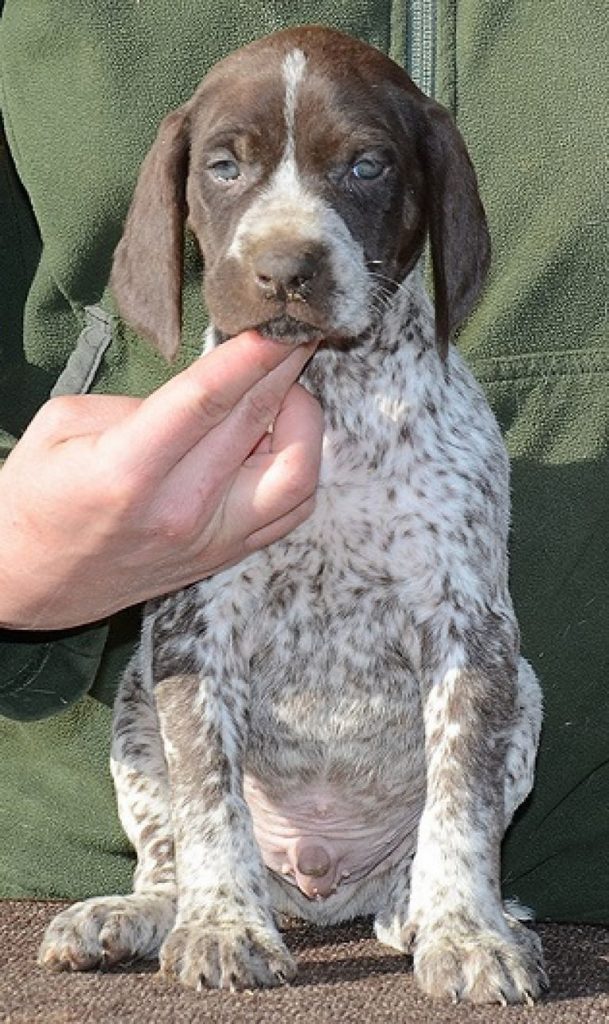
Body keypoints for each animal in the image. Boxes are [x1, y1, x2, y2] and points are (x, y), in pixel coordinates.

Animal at [41, 28, 548, 1003]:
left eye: (365, 166)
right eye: (224, 167)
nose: (282, 271)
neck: (327, 393)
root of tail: (318, 888)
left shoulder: (469, 630)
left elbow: (459, 803)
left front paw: (468, 933)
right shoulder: (194, 632)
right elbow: (209, 800)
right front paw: (222, 926)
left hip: (524, 694)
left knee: (421, 851)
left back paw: (424, 909)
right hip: (134, 711)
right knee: (167, 853)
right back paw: (138, 914)